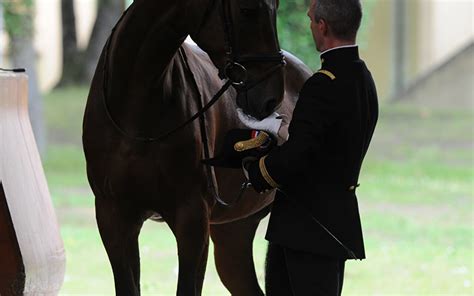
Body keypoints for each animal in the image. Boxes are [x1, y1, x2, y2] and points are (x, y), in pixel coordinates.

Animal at [82, 0, 312, 294]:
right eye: (247, 10)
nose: (271, 98)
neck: (136, 109)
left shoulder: (192, 222)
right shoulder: (114, 220)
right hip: (233, 234)